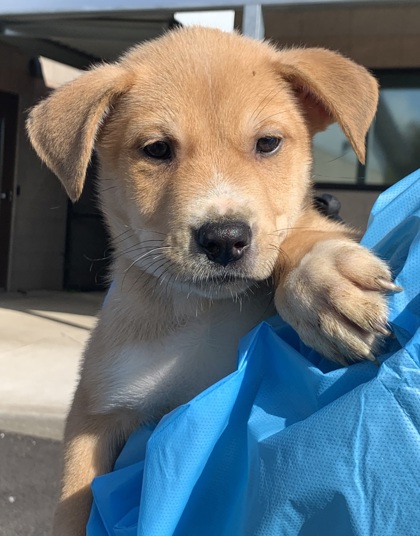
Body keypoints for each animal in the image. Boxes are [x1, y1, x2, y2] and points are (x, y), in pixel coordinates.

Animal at [27, 27, 398, 532]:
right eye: (157, 149)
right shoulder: (95, 413)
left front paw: (321, 278)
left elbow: (299, 227)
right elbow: (73, 504)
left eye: (268, 143)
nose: (224, 239)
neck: (198, 310)